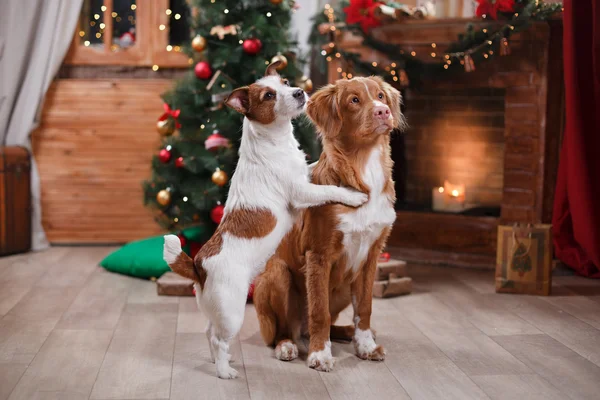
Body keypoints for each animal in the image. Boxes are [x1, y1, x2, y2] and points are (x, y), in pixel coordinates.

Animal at [162, 61, 366, 380]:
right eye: (269, 96)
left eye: (285, 83)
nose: (299, 92)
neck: (272, 141)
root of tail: (198, 266)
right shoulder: (302, 192)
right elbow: (328, 190)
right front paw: (352, 195)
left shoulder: (305, 175)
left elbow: (314, 168)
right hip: (232, 310)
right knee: (218, 338)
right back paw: (224, 371)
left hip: (216, 309)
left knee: (208, 332)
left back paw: (220, 361)